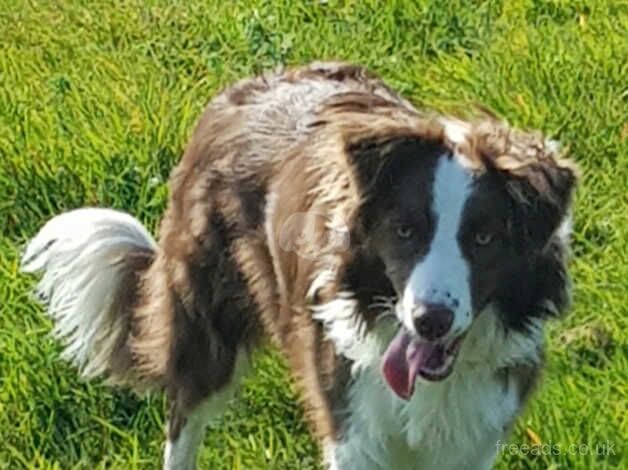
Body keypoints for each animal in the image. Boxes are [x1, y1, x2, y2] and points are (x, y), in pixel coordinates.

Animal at [22, 62, 576, 470]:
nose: (430, 321)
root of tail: (243, 88)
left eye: (483, 238)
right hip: (205, 324)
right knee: (183, 422)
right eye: (404, 231)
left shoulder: (474, 435)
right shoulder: (354, 432)